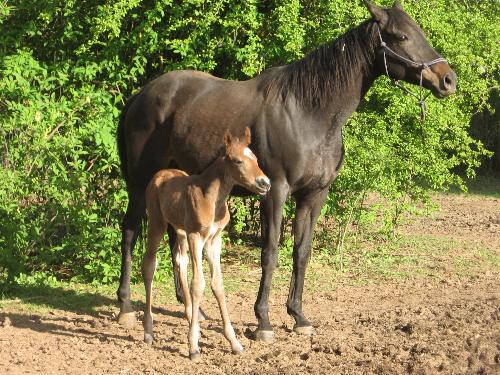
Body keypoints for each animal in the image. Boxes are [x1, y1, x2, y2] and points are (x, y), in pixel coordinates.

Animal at [143, 129, 272, 362]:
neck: (213, 198)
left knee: (180, 261)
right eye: (238, 161)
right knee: (149, 264)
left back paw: (190, 318)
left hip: (180, 231)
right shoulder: (196, 236)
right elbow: (198, 284)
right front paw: (193, 347)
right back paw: (148, 331)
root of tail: (160, 174)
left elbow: (217, 284)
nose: (264, 183)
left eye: (256, 159)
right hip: (157, 223)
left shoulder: (214, 240)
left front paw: (234, 342)